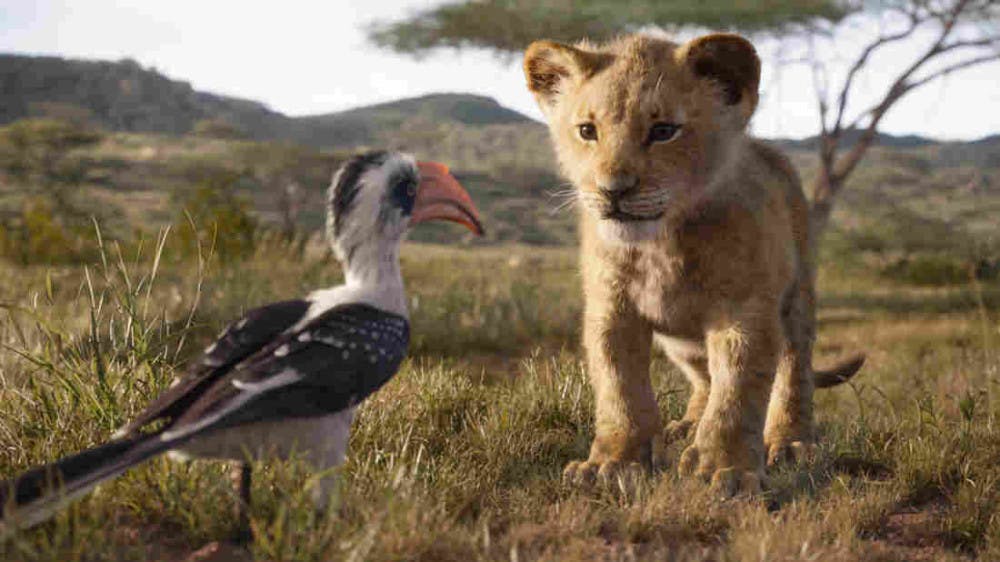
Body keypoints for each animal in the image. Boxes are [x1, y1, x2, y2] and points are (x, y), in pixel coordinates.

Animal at [523, 32, 864, 494]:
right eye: (587, 131)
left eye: (664, 131)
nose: (613, 190)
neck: (661, 244)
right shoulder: (612, 310)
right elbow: (619, 389)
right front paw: (612, 463)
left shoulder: (744, 312)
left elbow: (737, 392)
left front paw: (727, 470)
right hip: (680, 342)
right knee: (703, 377)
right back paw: (685, 425)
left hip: (798, 297)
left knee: (794, 370)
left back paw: (790, 442)